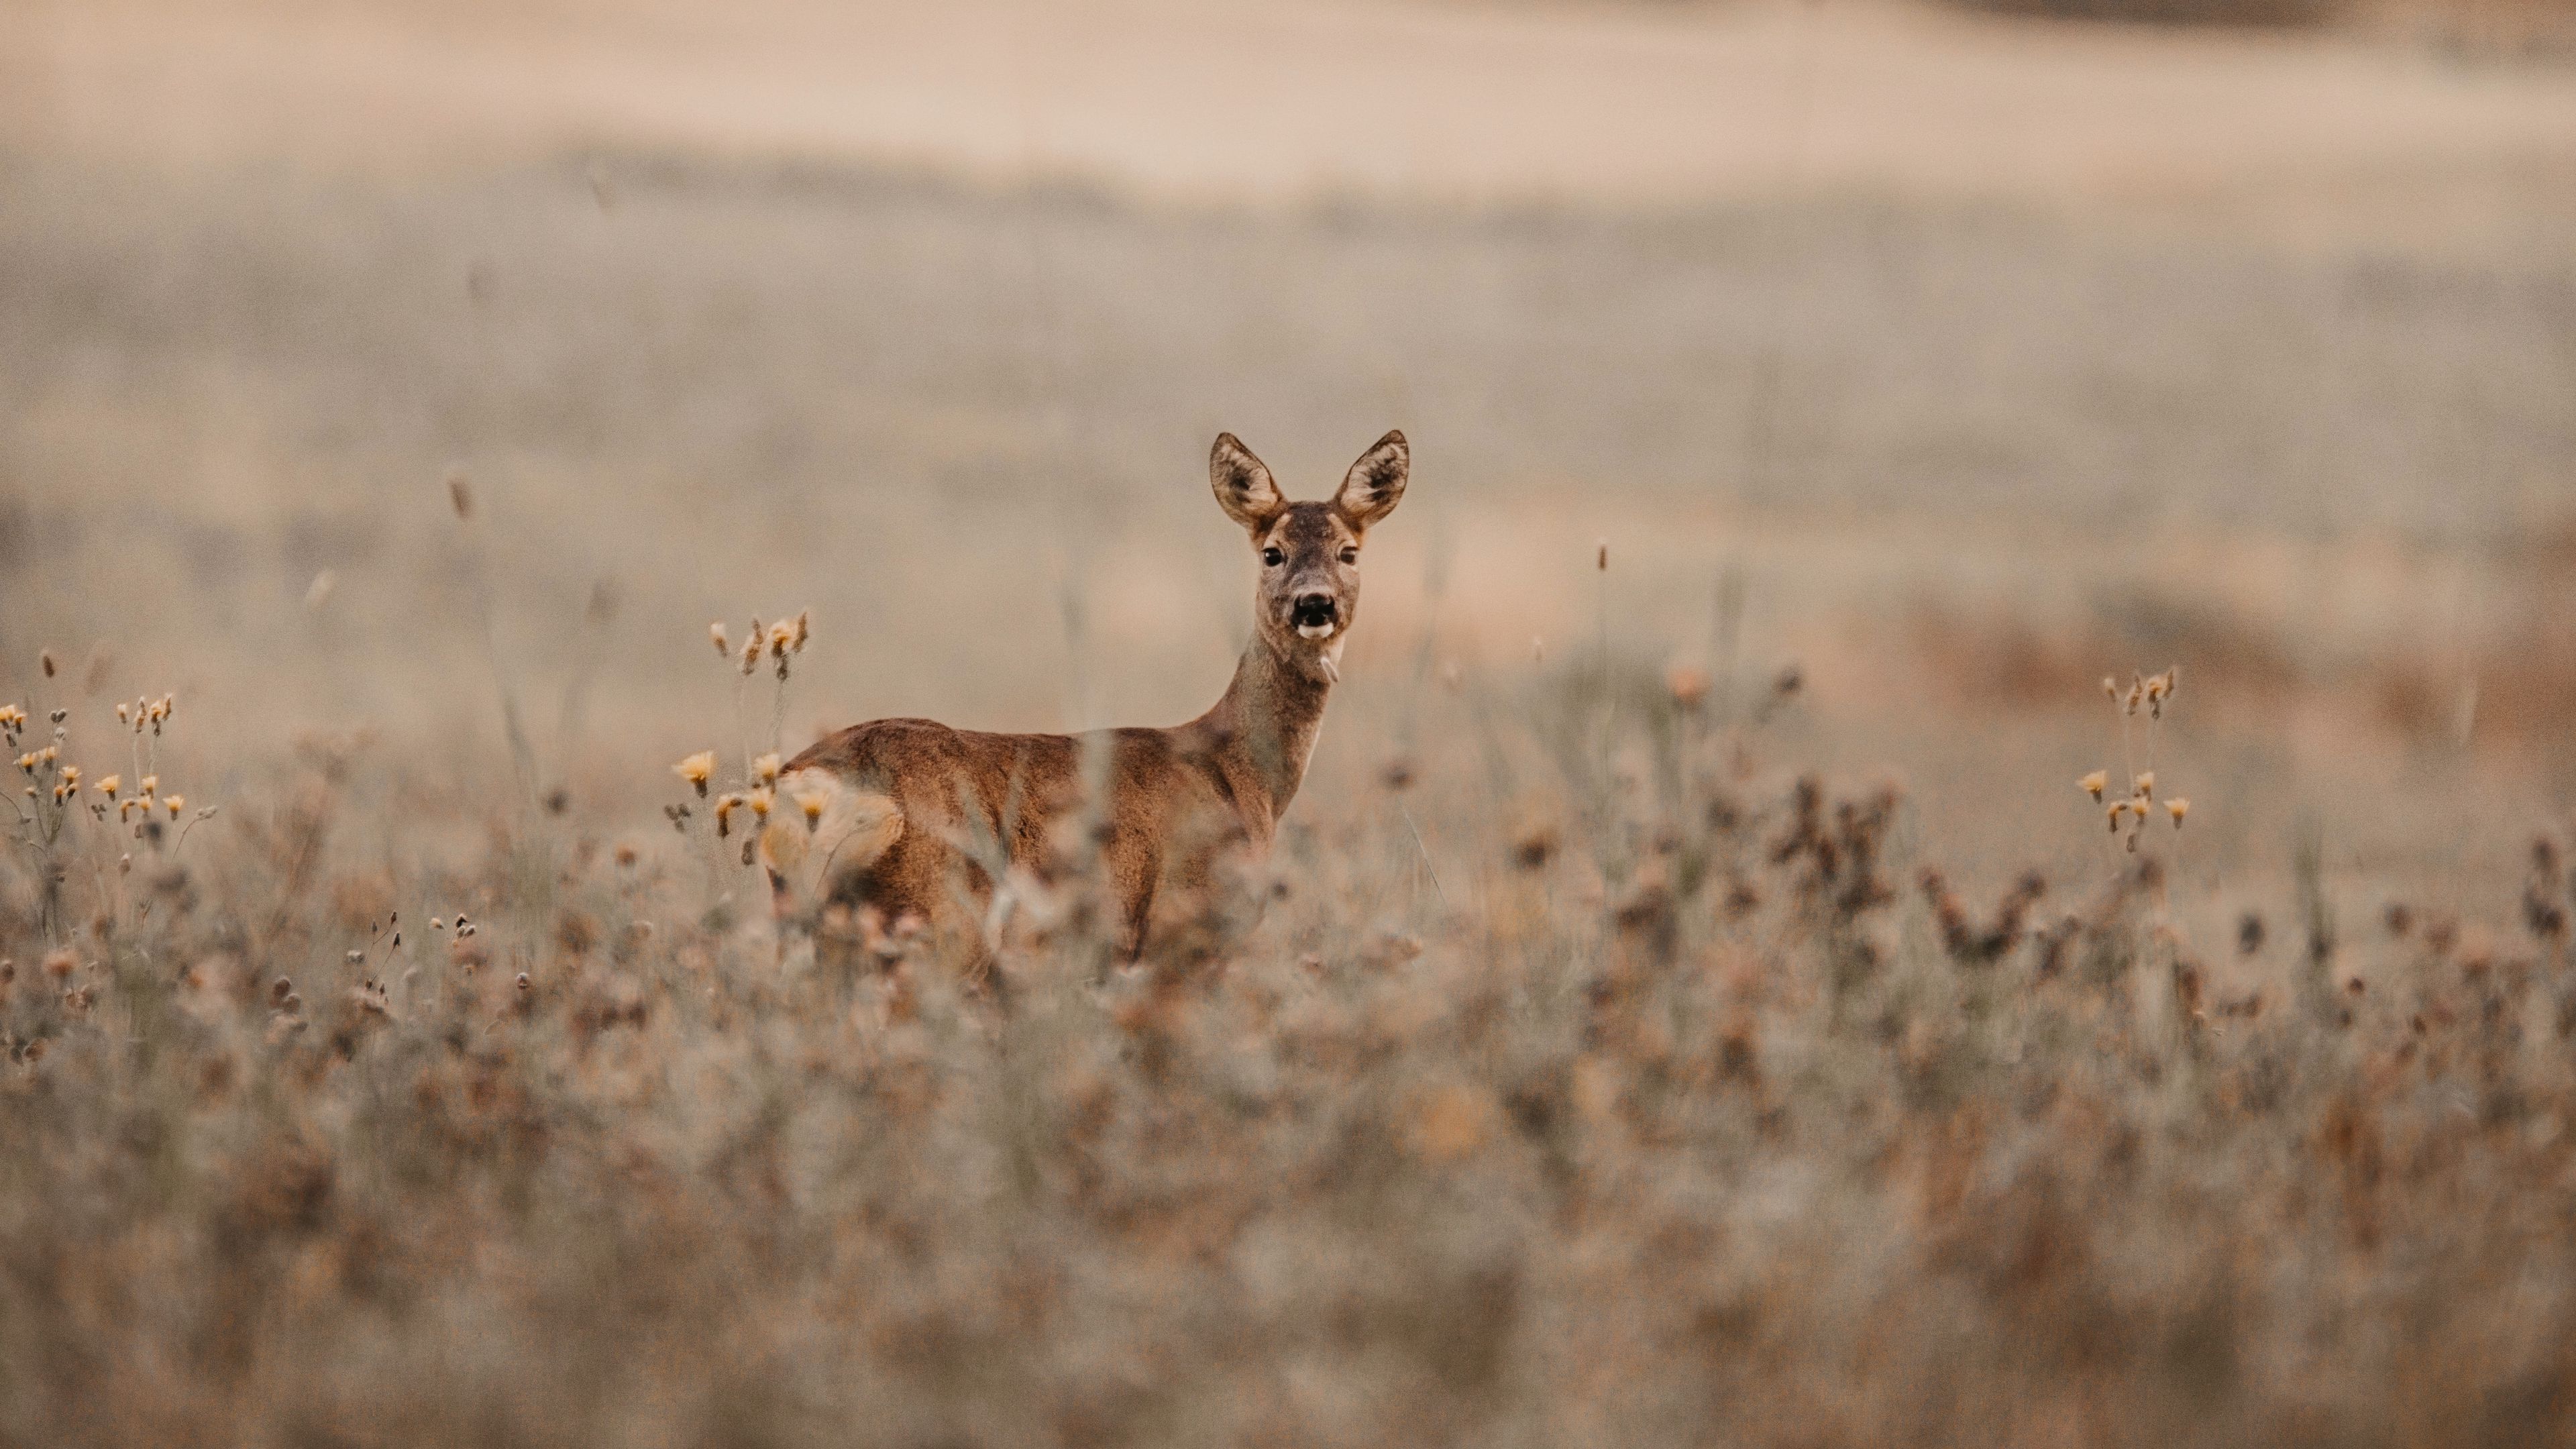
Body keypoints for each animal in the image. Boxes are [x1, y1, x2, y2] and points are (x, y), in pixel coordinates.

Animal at [763, 430, 1410, 967]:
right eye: (1272, 552)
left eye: (1349, 552)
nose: (1315, 604)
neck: (1242, 775)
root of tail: (810, 785)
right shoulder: (1180, 929)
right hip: (934, 917)